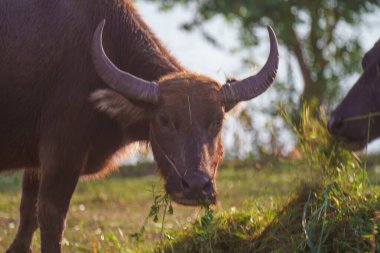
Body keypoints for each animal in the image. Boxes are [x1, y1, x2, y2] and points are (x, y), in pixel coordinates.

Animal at [0, 0, 280, 253]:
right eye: (164, 120)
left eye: (218, 121)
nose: (196, 186)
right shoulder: (62, 152)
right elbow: (50, 218)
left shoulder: (37, 162)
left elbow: (28, 213)